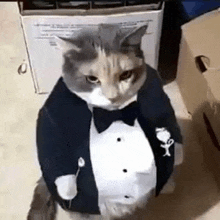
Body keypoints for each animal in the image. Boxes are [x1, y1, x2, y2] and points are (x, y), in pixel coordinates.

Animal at [27, 23, 182, 219]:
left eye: (126, 75)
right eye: (92, 79)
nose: (113, 97)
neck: (114, 115)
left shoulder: (155, 92)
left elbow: (165, 117)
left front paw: (176, 153)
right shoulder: (54, 112)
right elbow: (52, 141)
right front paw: (67, 187)